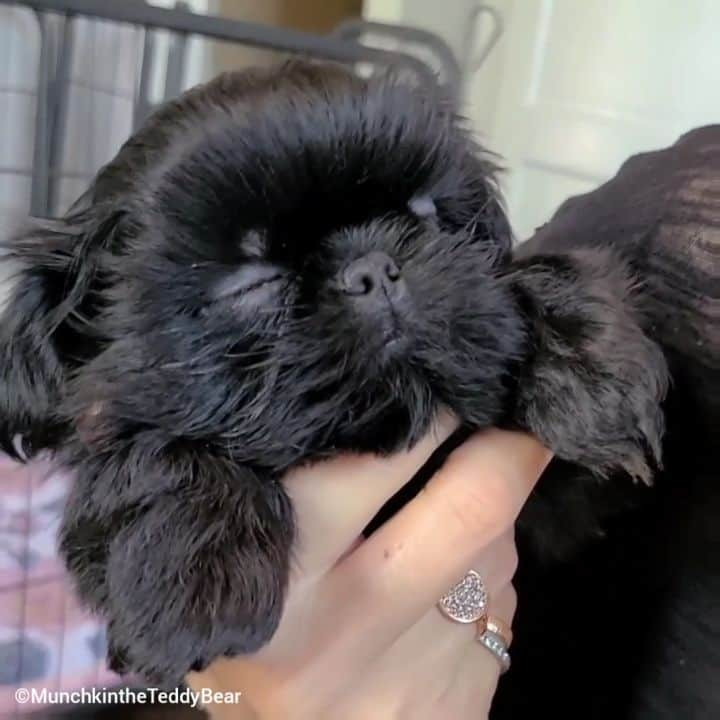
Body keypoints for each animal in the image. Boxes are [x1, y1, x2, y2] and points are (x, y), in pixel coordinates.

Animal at [0, 63, 668, 688]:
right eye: (252, 285)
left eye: (425, 214)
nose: (373, 269)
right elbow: (154, 449)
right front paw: (193, 565)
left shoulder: (562, 513)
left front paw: (586, 364)